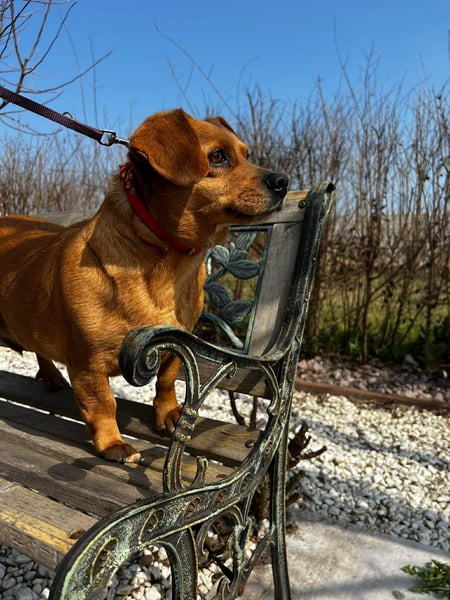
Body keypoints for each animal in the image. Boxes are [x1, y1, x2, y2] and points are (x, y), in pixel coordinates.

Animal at [0, 108, 288, 462]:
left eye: (247, 155)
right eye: (218, 157)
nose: (283, 181)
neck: (169, 267)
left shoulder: (178, 343)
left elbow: (166, 380)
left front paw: (169, 413)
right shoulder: (87, 365)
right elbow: (102, 404)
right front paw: (112, 442)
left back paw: (52, 376)